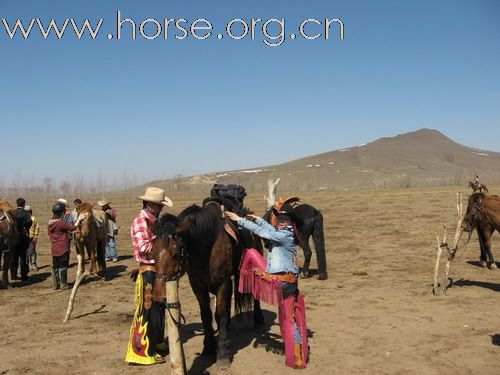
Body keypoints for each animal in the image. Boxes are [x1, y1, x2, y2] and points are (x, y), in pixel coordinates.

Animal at [153, 203, 264, 370]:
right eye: (153, 252)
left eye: (176, 254)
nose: (159, 295)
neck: (206, 247)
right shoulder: (197, 286)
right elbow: (206, 314)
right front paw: (208, 348)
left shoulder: (223, 283)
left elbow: (220, 314)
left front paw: (223, 354)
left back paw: (258, 319)